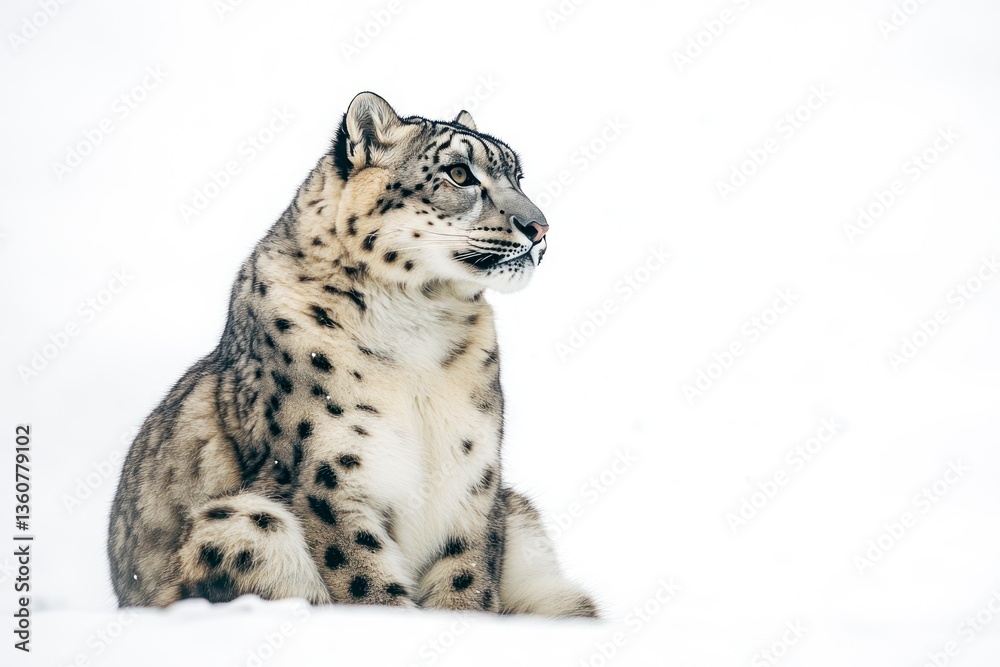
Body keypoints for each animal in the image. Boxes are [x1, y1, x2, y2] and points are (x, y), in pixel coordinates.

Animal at [106, 92, 597, 617]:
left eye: (518, 176)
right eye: (459, 173)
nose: (539, 226)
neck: (418, 336)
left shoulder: (472, 476)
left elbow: (466, 573)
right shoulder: (328, 474)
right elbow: (362, 576)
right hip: (239, 523)